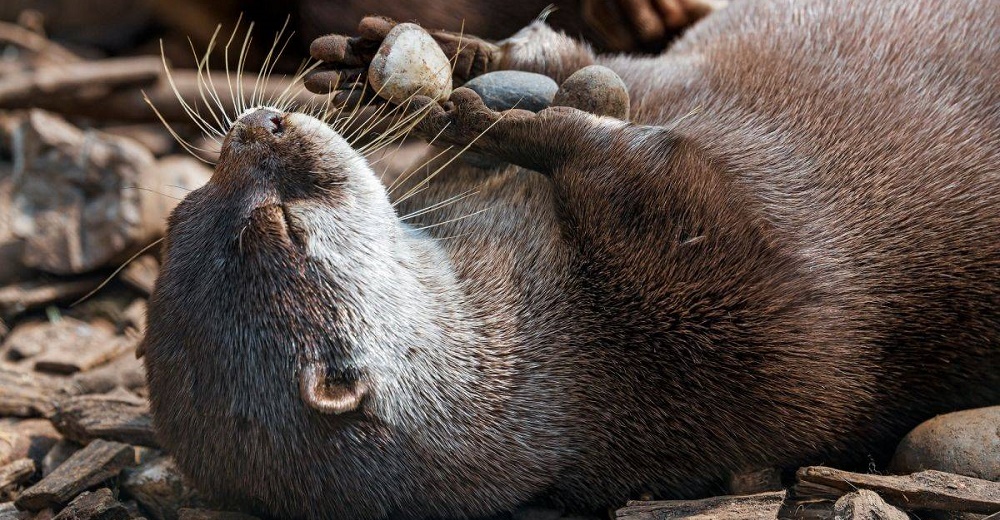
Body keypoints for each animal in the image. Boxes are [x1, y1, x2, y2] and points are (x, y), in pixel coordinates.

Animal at [141, 0, 1000, 516]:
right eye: (280, 225)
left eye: (186, 205)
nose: (258, 126)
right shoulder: (756, 311)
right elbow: (668, 177)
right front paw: (511, 123)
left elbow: (571, 56)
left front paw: (411, 60)